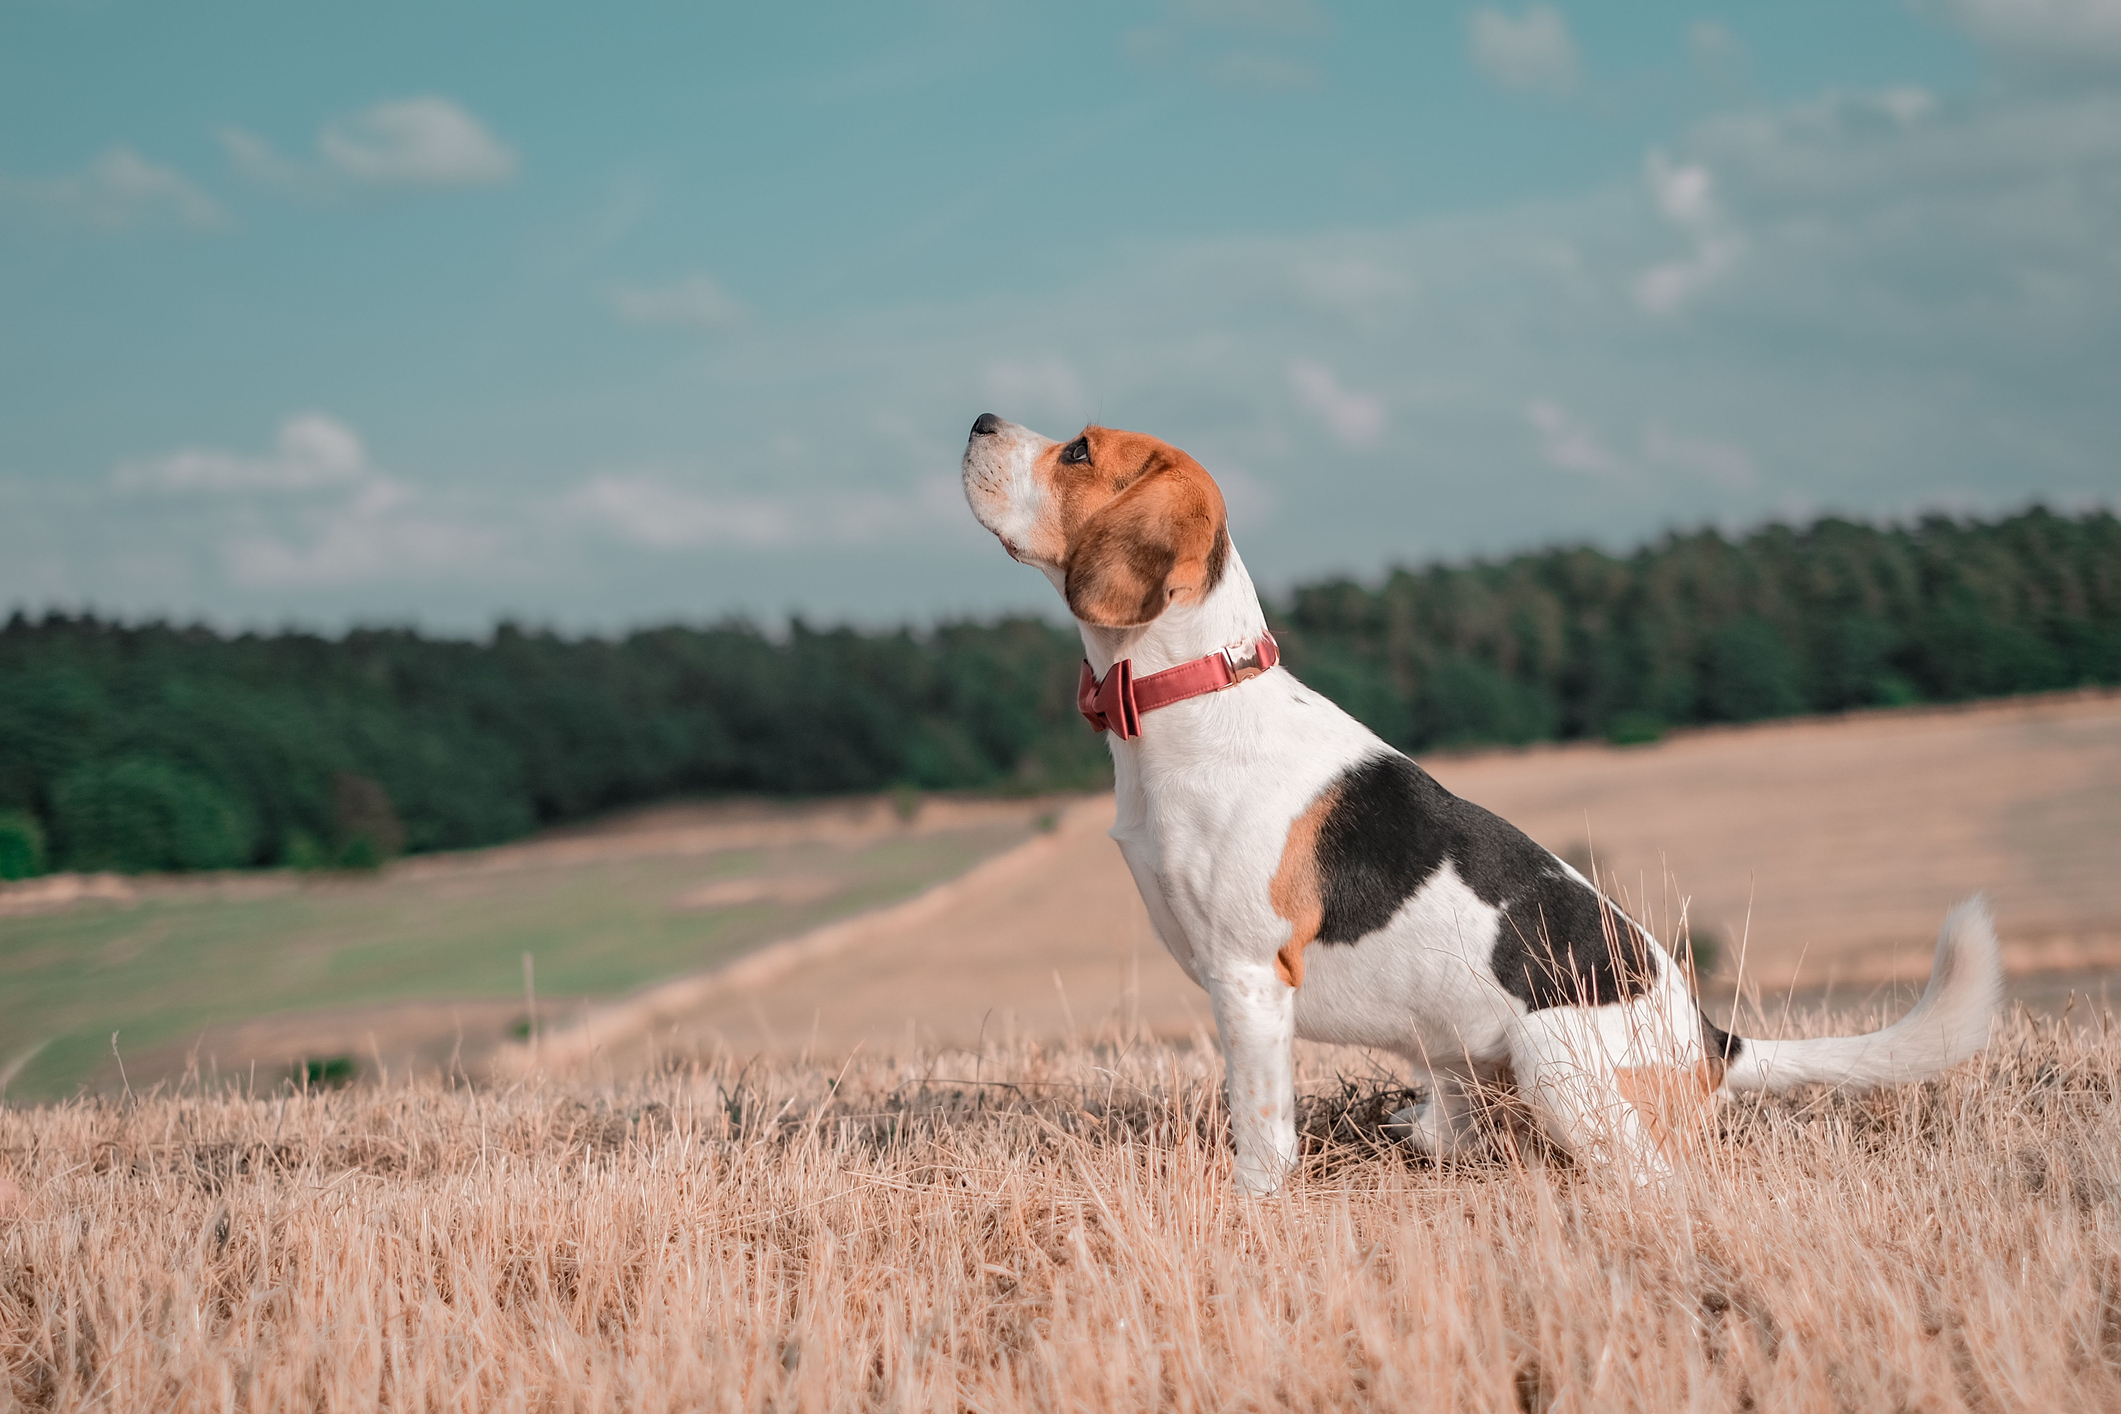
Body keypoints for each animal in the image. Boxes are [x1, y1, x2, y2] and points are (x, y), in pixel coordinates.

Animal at [962, 417, 2002, 1195]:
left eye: (1079, 451)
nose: (980, 419)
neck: (1193, 687)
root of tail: (1712, 1042)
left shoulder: (1249, 981)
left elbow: (1261, 1133)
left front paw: (1250, 1206)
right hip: (1461, 1059)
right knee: (1452, 1130)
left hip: (1549, 1059)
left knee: (1651, 1179)